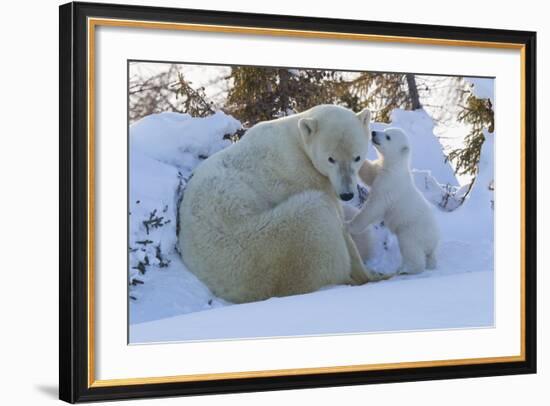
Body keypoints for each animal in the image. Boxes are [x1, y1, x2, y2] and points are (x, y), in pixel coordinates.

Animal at [179, 105, 386, 304]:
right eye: (331, 158)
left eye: (357, 157)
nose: (347, 194)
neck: (297, 140)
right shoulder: (301, 174)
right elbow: (340, 223)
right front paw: (370, 274)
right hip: (271, 240)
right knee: (318, 215)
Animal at [350, 128, 444, 274]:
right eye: (384, 130)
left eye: (388, 137)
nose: (374, 132)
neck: (395, 167)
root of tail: (434, 241)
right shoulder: (380, 171)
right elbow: (369, 173)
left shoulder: (389, 185)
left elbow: (373, 208)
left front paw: (349, 226)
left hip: (412, 231)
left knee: (410, 249)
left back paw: (405, 270)